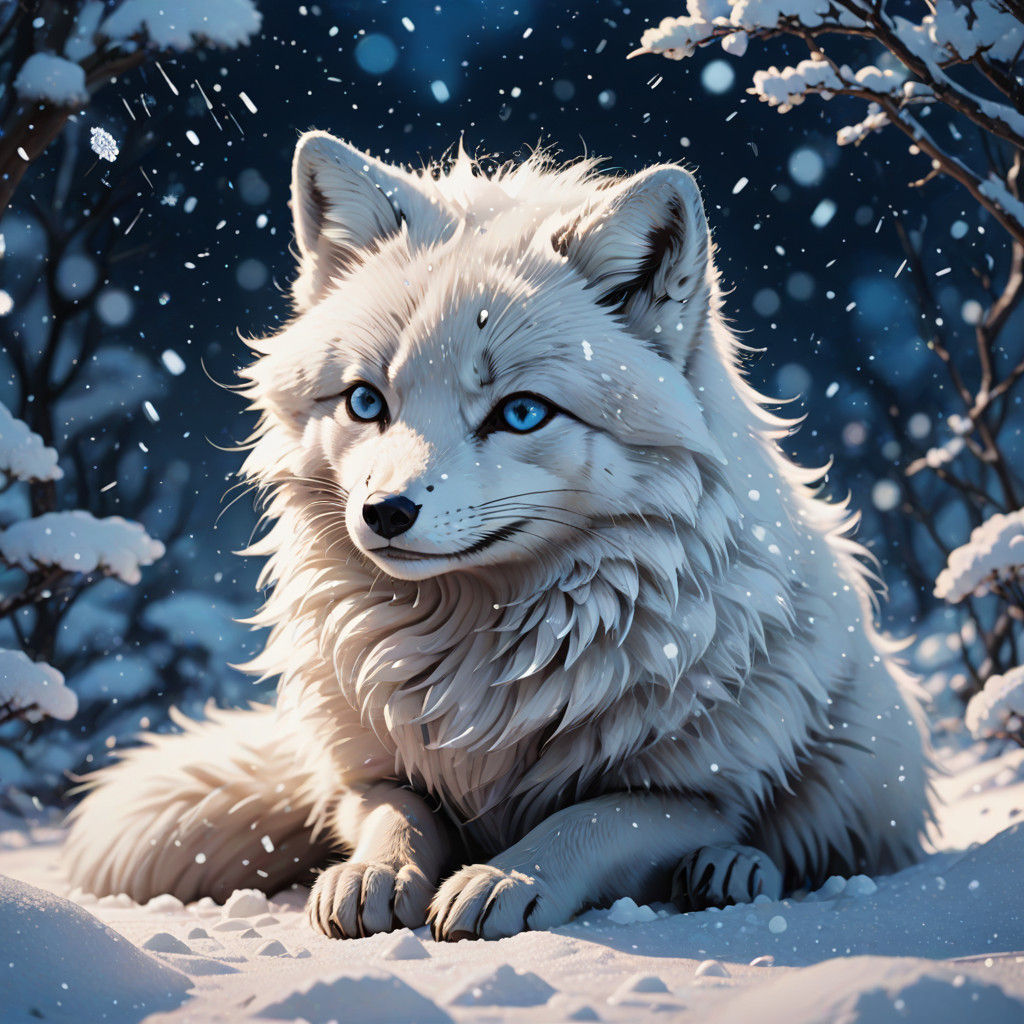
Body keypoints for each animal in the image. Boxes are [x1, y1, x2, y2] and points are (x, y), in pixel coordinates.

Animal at [64, 132, 930, 941]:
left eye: (520, 413)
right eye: (366, 402)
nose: (385, 511)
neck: (473, 650)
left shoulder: (695, 791)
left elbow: (590, 819)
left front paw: (503, 879)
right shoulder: (364, 774)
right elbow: (398, 814)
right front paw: (375, 876)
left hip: (861, 764)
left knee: (798, 847)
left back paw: (729, 872)